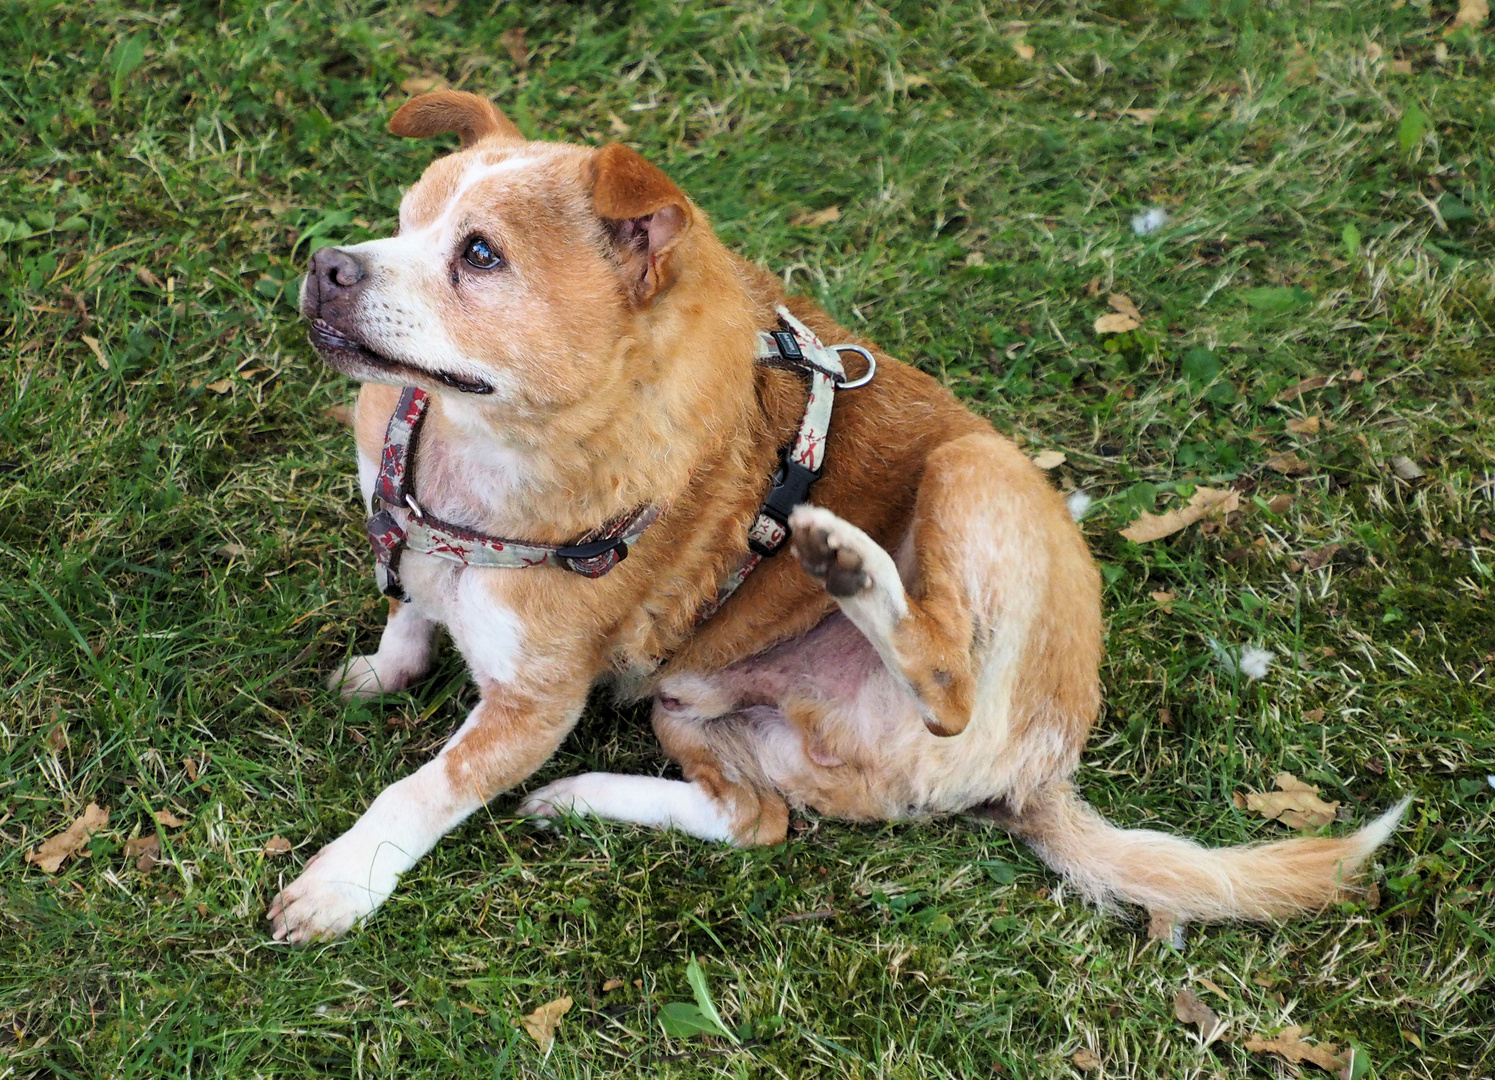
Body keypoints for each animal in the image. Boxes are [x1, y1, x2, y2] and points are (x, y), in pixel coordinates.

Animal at [269, 92, 1399, 945]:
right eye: (401, 218)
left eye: (480, 256)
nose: (327, 264)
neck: (472, 447)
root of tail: (1041, 773)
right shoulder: (409, 538)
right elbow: (408, 603)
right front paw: (384, 666)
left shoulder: (531, 705)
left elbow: (424, 790)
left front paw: (341, 884)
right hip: (700, 712)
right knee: (754, 820)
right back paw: (582, 797)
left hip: (978, 473)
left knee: (943, 678)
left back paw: (848, 564)